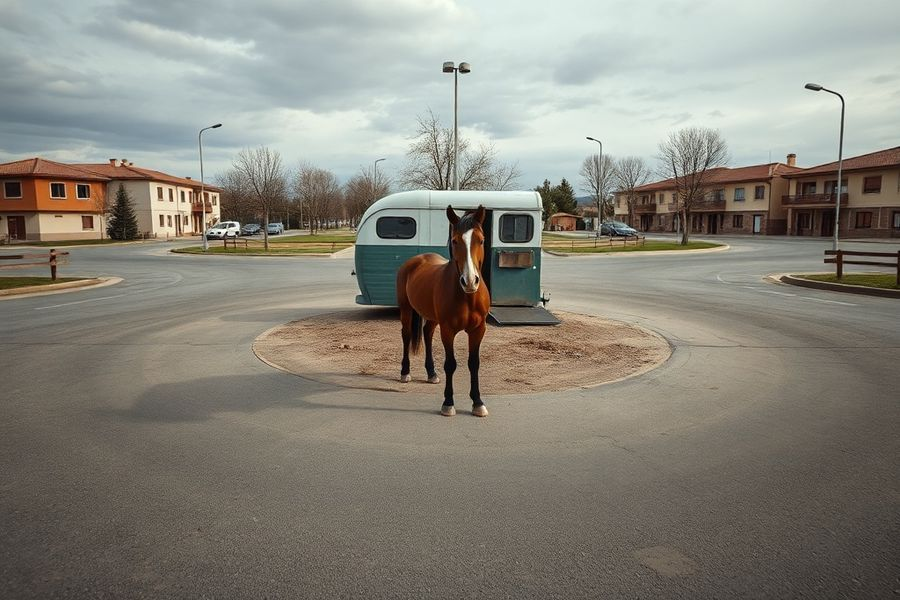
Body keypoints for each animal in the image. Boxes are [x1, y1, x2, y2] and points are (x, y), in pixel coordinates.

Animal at [396, 205, 491, 417]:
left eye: (481, 240)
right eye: (455, 241)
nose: (470, 281)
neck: (467, 297)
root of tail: (415, 261)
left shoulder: (478, 330)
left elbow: (474, 363)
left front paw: (478, 402)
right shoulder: (448, 330)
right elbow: (450, 364)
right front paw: (448, 403)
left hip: (431, 318)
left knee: (427, 334)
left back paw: (431, 373)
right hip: (406, 309)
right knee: (406, 335)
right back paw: (405, 372)